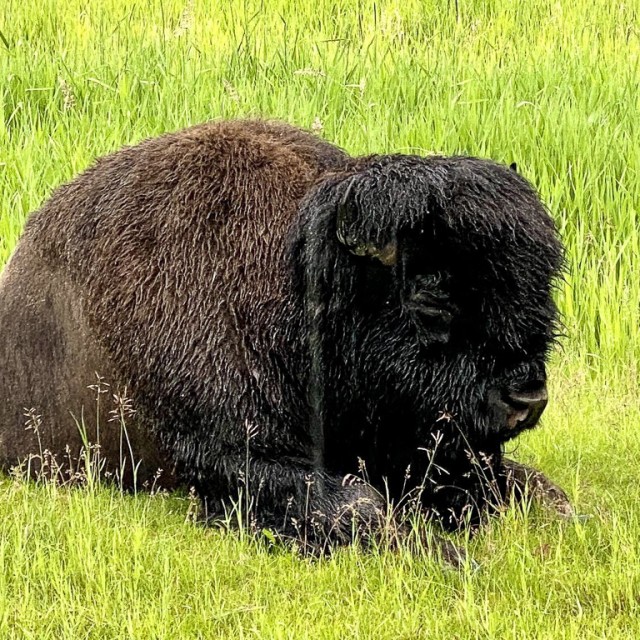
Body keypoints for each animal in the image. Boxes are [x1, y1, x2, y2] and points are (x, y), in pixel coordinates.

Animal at [0, 120, 571, 554]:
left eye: (540, 287)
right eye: (429, 299)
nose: (527, 398)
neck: (296, 281)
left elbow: (531, 485)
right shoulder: (233, 456)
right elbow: (361, 504)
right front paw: (448, 556)